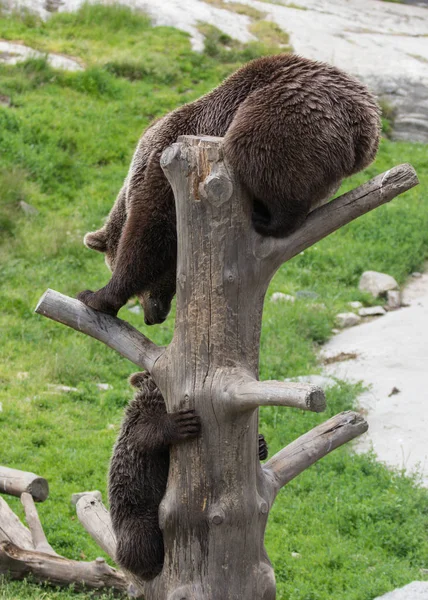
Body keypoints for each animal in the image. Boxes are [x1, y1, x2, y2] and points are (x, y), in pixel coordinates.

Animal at [78, 52, 380, 324]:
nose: (155, 316)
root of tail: (367, 120)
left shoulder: (162, 171)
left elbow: (148, 234)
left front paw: (96, 296)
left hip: (285, 112)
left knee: (252, 150)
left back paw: (270, 219)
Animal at [108, 372, 266, 580]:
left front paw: (261, 445)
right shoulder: (138, 424)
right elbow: (146, 434)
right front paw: (180, 424)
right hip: (137, 511)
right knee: (141, 540)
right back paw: (151, 566)